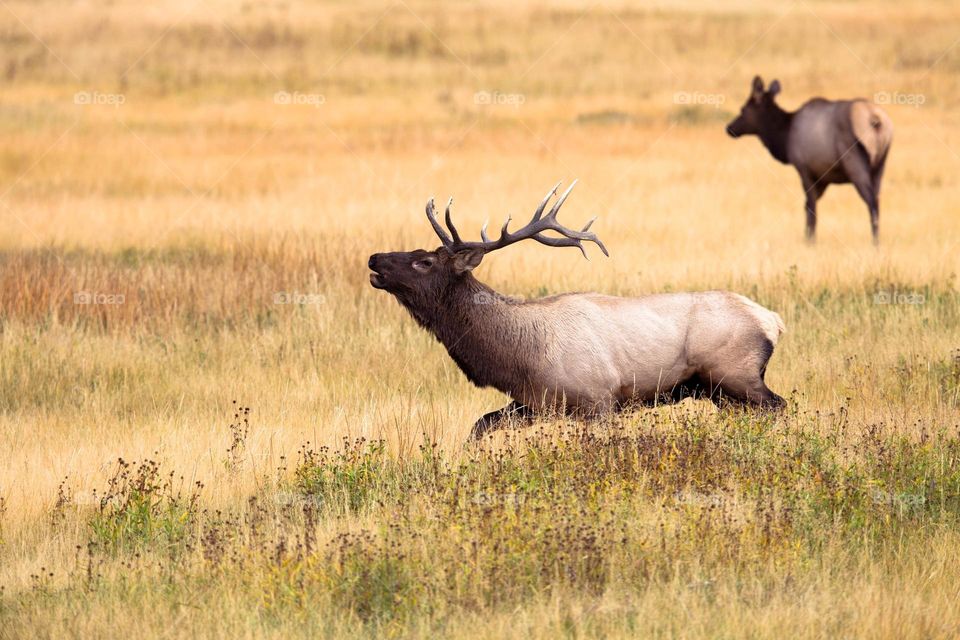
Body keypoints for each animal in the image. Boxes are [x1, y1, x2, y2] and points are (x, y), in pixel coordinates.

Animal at [368, 182, 786, 441]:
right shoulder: (532, 403)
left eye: (423, 261)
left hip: (735, 373)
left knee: (779, 406)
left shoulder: (599, 400)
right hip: (718, 392)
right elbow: (479, 426)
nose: (374, 258)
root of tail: (773, 321)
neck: (519, 355)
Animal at [726, 76, 893, 244]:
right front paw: (807, 236)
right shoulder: (824, 178)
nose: (729, 128)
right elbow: (808, 206)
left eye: (743, 109)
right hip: (880, 166)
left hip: (855, 164)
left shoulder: (804, 168)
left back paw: (875, 242)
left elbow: (811, 206)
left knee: (871, 202)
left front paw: (810, 240)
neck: (784, 137)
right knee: (877, 200)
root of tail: (875, 119)